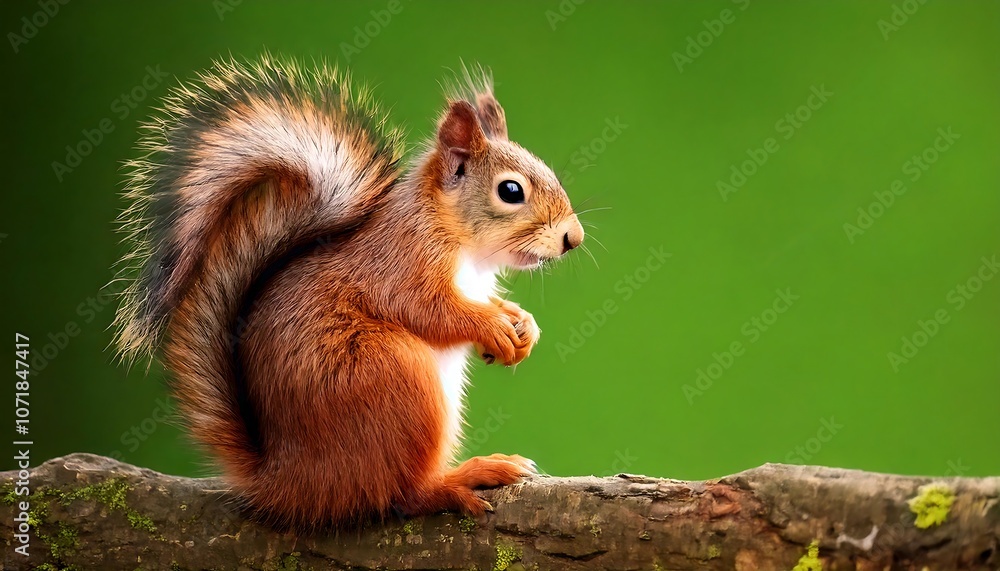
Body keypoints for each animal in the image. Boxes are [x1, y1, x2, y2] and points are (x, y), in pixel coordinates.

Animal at [112, 55, 584, 528]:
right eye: (511, 190)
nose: (573, 239)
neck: (463, 243)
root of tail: (287, 483)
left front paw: (523, 323)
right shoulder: (401, 264)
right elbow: (429, 311)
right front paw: (491, 326)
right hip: (394, 374)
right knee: (401, 493)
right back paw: (461, 479)